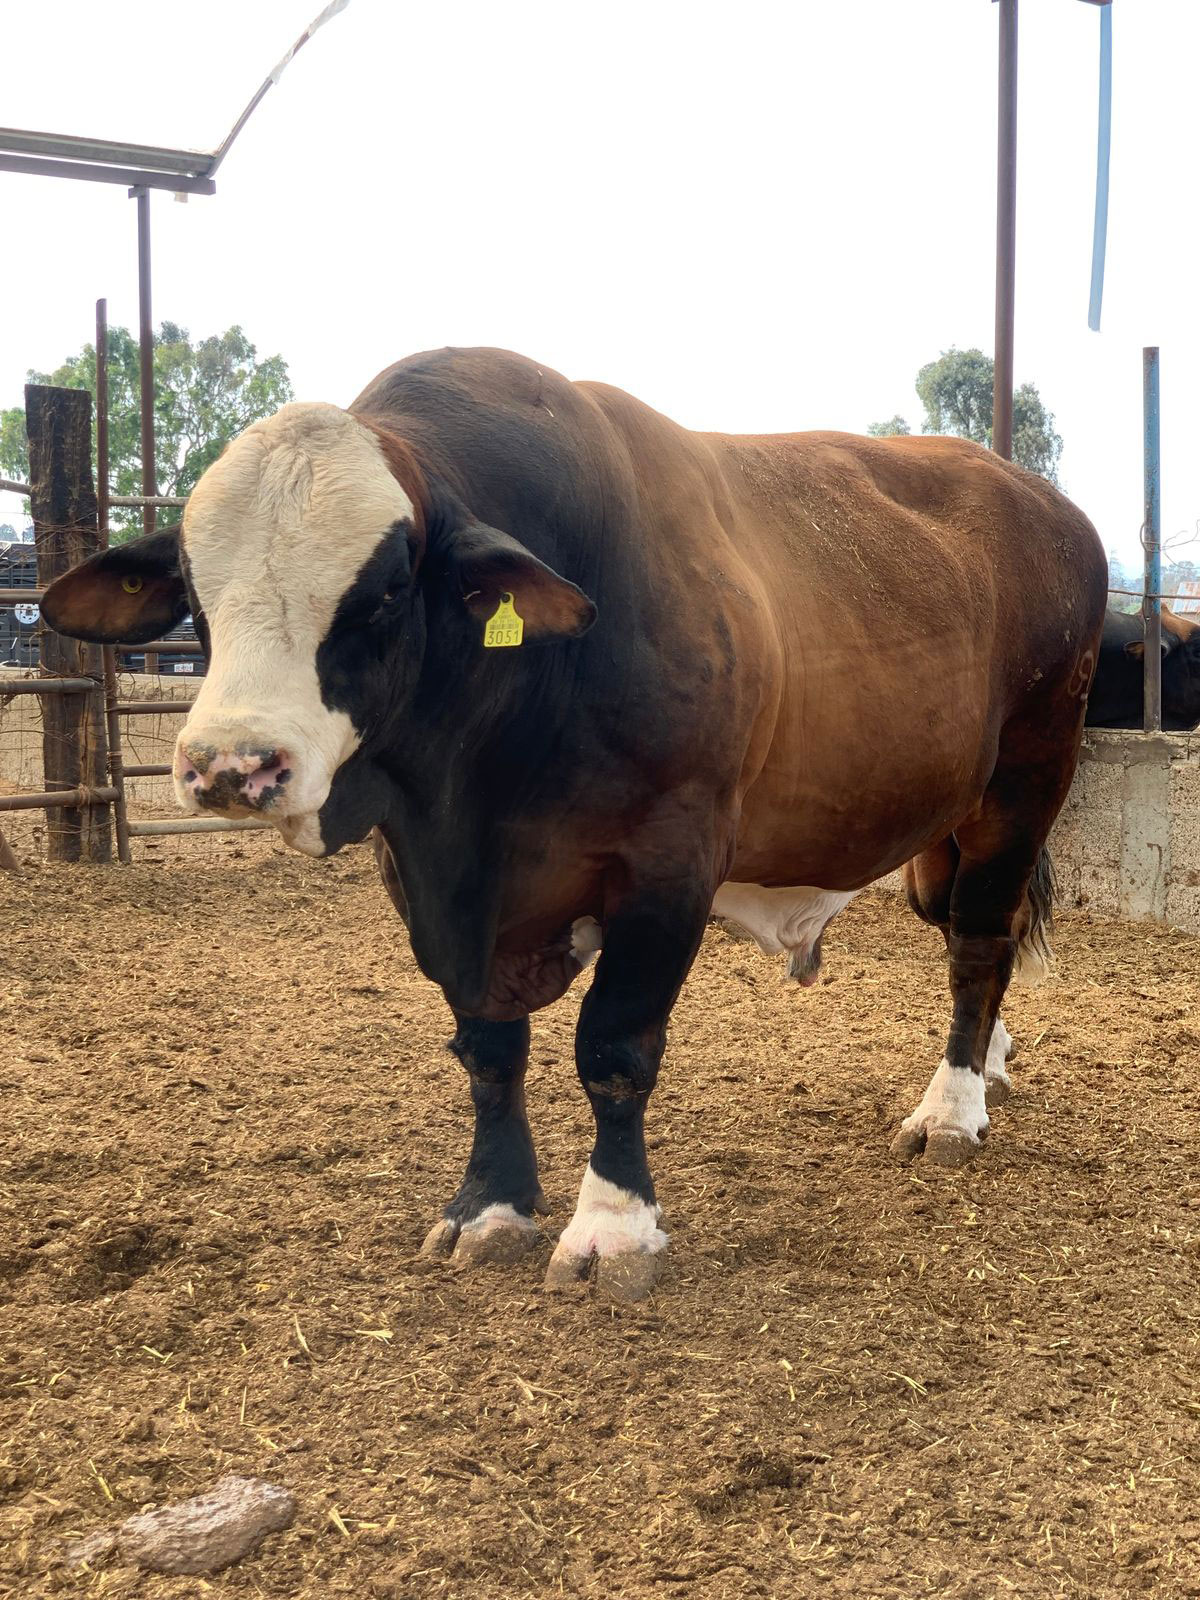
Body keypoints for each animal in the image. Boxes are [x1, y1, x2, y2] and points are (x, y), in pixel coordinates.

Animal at [42, 347, 1107, 1300]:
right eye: (195, 591)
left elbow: (615, 1050)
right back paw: (990, 1065)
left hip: (1027, 777)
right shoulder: (427, 880)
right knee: (979, 931)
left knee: (980, 938)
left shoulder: (668, 862)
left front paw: (612, 1228)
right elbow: (489, 1051)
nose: (231, 766)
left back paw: (951, 1109)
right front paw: (489, 1206)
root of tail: (1042, 500)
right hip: (937, 828)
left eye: (384, 590)